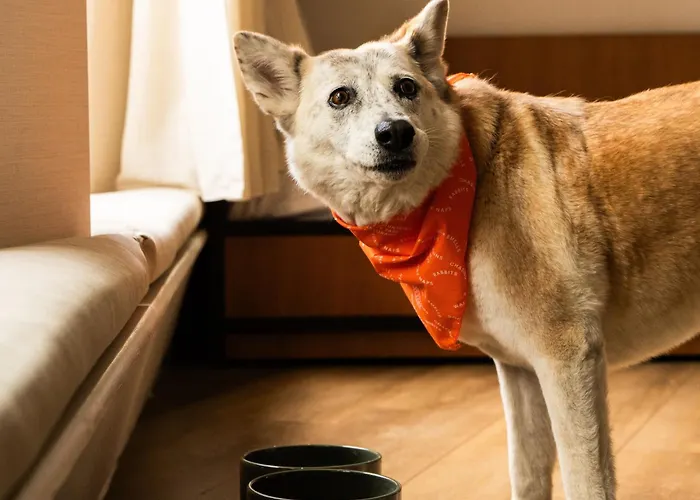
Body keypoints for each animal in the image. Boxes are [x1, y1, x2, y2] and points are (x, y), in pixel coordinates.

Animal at [233, 1, 700, 498]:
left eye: (406, 87)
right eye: (340, 97)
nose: (396, 133)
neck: (471, 181)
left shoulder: (569, 359)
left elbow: (585, 481)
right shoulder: (521, 371)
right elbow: (527, 474)